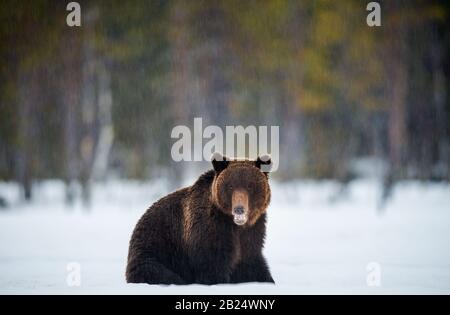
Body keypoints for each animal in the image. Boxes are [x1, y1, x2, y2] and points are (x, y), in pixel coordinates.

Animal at [125, 154, 274, 286]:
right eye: (230, 186)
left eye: (250, 185)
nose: (239, 209)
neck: (235, 225)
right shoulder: (210, 230)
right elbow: (212, 265)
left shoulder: (252, 232)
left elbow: (252, 262)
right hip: (154, 249)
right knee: (158, 272)